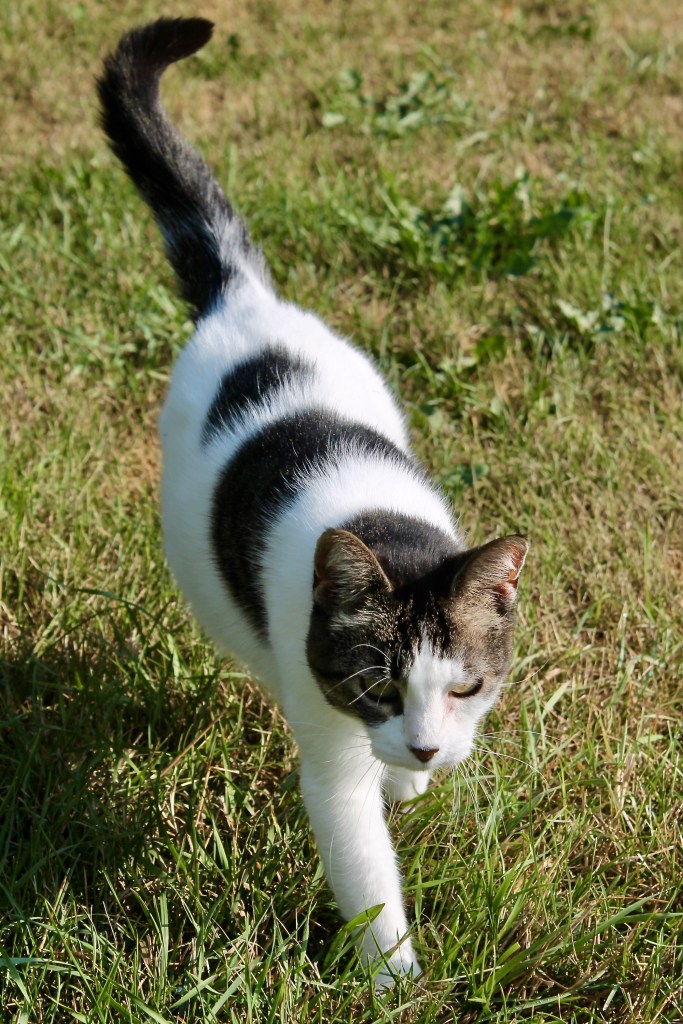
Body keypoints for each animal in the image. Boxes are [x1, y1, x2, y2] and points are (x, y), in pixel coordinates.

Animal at [97, 17, 528, 987]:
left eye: (467, 685)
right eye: (376, 685)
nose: (423, 745)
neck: (380, 520)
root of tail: (243, 299)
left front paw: (415, 775)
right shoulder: (332, 734)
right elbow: (361, 858)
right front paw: (395, 982)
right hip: (199, 568)